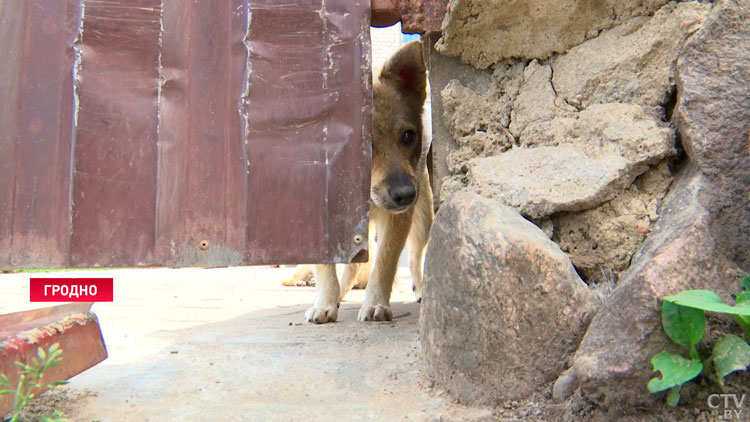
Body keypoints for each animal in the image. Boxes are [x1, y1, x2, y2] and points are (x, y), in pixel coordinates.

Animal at [302, 40, 434, 324]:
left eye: (408, 136)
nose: (406, 194)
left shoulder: (397, 220)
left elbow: (385, 263)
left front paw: (375, 303)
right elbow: (325, 267)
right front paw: (325, 302)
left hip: (423, 221)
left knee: (414, 258)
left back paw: (421, 289)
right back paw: (339, 294)